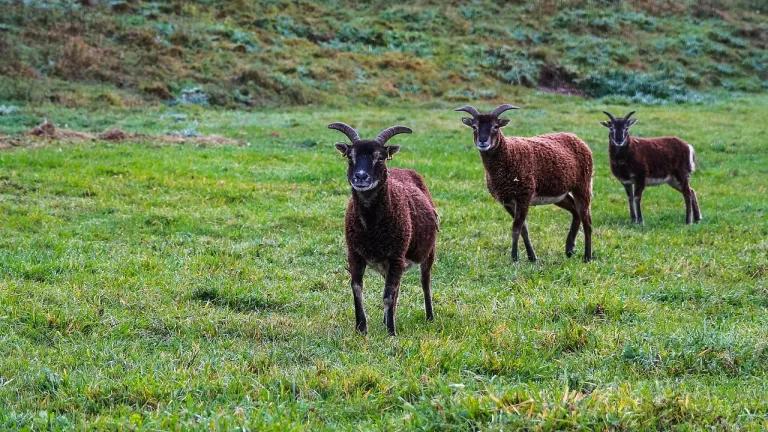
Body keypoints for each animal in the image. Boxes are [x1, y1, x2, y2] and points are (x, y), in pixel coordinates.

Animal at [330, 122, 439, 336]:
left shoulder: (396, 255)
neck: (371, 227)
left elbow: (388, 295)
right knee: (396, 289)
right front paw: (361, 328)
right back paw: (385, 319)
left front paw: (391, 332)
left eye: (379, 157)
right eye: (350, 156)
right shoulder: (354, 254)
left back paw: (429, 317)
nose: (360, 177)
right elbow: (357, 289)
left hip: (426, 252)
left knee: (425, 283)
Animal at [455, 104, 594, 262]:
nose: (483, 141)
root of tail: (579, 140)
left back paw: (587, 257)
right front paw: (532, 257)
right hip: (559, 193)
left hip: (583, 185)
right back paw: (569, 249)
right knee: (575, 212)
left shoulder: (524, 196)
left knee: (587, 221)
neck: (509, 155)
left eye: (496, 126)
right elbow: (523, 229)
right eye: (474, 126)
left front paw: (514, 257)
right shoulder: (507, 201)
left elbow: (516, 228)